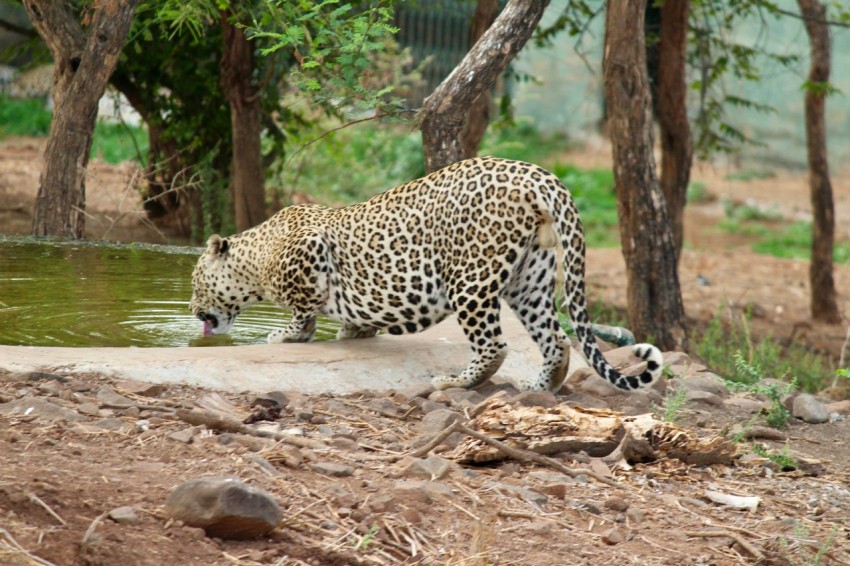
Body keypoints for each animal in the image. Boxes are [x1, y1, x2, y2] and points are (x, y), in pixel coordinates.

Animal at [189, 156, 662, 392]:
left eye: (195, 283)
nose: (192, 309)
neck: (256, 257)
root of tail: (540, 175)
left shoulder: (310, 253)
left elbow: (303, 312)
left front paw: (285, 335)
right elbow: (350, 320)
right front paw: (350, 333)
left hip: (471, 279)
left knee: (495, 344)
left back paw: (457, 381)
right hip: (530, 279)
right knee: (556, 339)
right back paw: (541, 387)